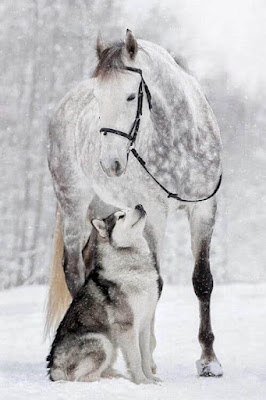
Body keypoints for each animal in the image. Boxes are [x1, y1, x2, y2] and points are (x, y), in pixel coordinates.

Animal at [47, 205, 163, 382]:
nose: (139, 205)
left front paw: (151, 378)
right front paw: (142, 381)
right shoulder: (127, 325)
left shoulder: (144, 323)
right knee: (82, 378)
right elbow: (136, 358)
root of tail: (53, 368)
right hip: (102, 341)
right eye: (121, 216)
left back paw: (112, 374)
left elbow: (145, 355)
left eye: (129, 208)